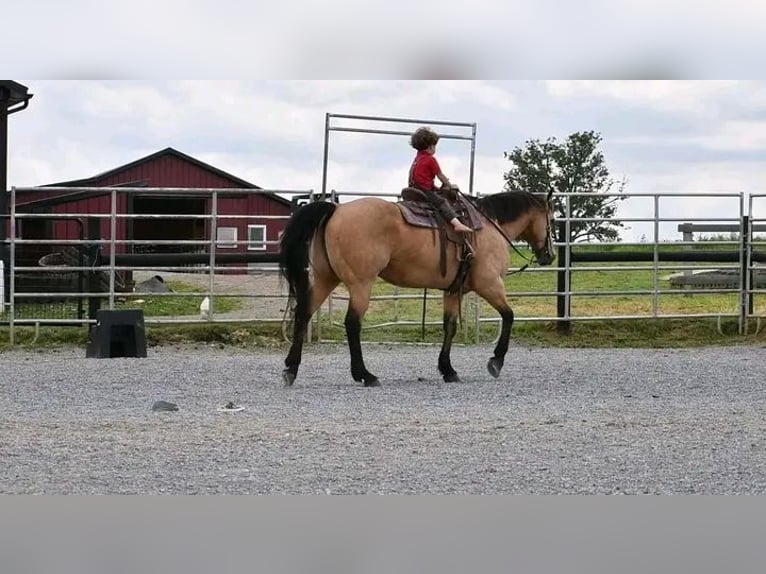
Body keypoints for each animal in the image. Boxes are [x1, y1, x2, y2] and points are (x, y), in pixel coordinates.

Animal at [280, 191, 556, 390]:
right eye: (552, 220)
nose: (549, 256)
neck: (489, 226)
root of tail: (336, 209)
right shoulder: (489, 284)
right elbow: (509, 315)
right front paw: (496, 361)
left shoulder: (452, 291)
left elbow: (450, 326)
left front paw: (448, 370)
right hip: (360, 284)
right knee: (352, 324)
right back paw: (365, 375)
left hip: (326, 279)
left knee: (303, 314)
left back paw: (291, 369)